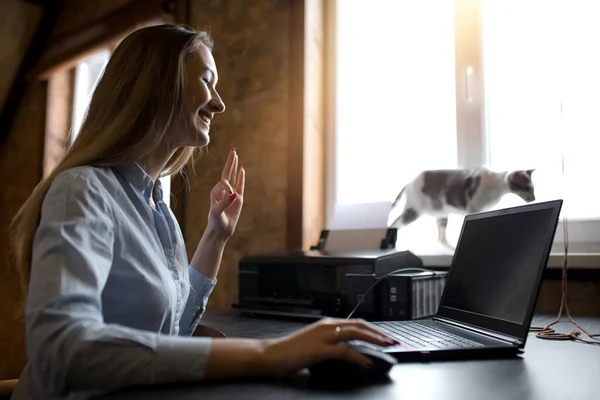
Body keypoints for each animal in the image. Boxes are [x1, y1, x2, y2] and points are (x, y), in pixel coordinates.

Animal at [390, 166, 536, 248]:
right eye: (527, 188)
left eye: (533, 189)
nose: (534, 198)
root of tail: (408, 183)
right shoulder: (473, 208)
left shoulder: (484, 211)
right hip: (414, 211)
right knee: (394, 225)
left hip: (441, 215)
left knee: (441, 239)